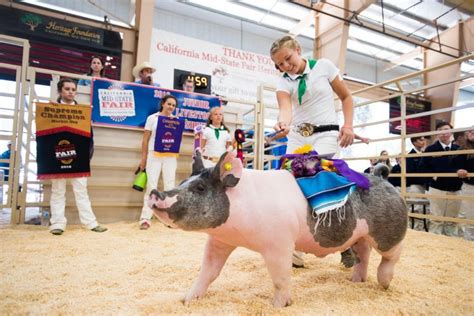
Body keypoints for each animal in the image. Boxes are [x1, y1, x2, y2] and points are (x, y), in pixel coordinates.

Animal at [149, 149, 408, 308]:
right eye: (183, 182)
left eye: (201, 188)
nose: (155, 193)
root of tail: (383, 179)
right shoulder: (220, 241)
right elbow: (208, 272)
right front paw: (187, 301)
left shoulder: (279, 243)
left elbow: (280, 278)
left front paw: (277, 306)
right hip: (359, 235)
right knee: (363, 254)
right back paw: (355, 281)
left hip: (388, 231)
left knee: (392, 254)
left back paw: (384, 283)